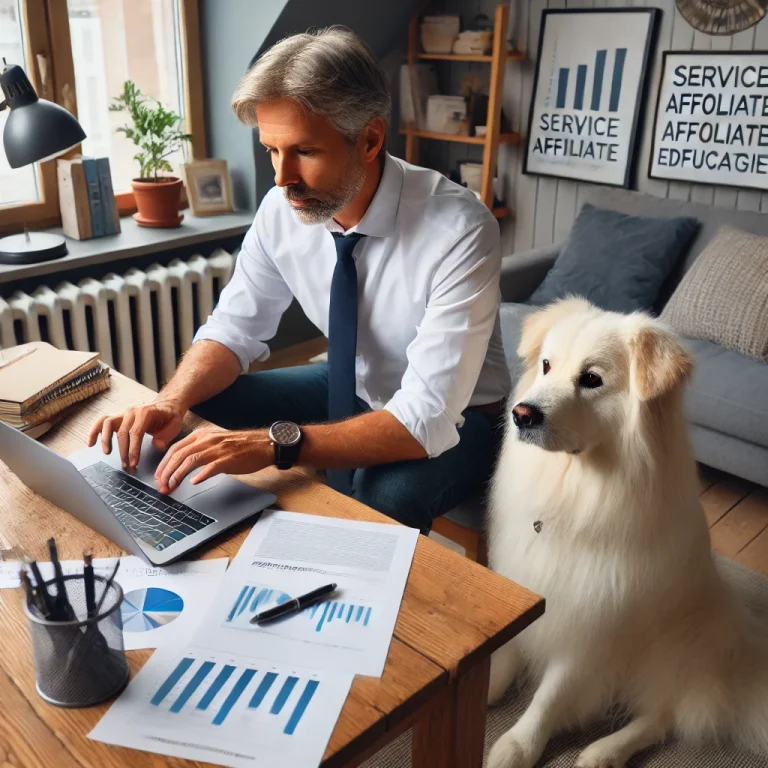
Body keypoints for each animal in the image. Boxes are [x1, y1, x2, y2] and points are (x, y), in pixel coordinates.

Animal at [486, 298, 768, 768]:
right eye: (546, 365)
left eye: (592, 379)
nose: (521, 414)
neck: (574, 489)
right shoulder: (526, 576)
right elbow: (509, 644)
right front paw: (486, 681)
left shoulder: (593, 624)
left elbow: (551, 694)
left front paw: (519, 745)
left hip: (673, 648)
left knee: (661, 717)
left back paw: (603, 751)